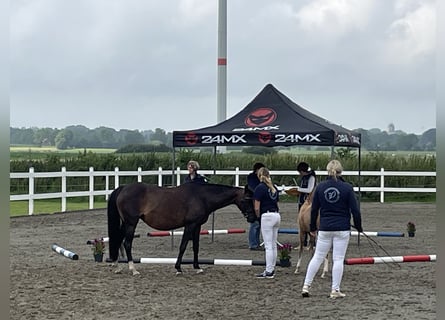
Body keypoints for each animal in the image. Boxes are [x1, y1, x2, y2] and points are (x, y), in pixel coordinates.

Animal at [105, 182, 250, 276]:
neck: (201, 197)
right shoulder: (190, 225)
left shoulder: (197, 226)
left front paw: (197, 267)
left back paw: (118, 266)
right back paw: (133, 269)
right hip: (131, 223)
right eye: (246, 199)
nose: (251, 217)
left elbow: (195, 247)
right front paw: (178, 268)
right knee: (127, 243)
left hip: (125, 223)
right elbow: (183, 246)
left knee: (118, 240)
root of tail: (123, 188)